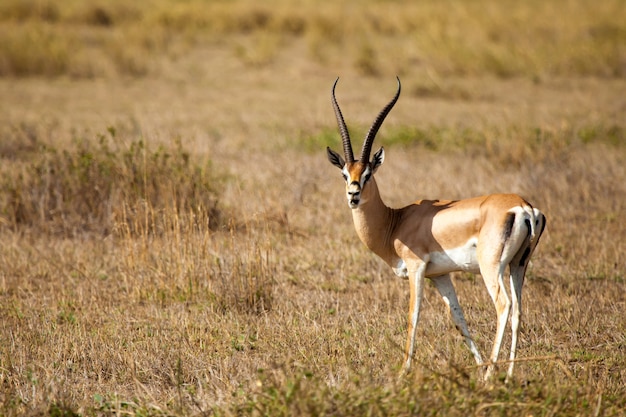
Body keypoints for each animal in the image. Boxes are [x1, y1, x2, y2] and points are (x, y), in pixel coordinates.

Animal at [324, 77, 544, 380]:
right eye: (345, 174)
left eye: (368, 174)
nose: (353, 194)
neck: (396, 222)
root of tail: (523, 207)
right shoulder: (440, 276)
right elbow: (459, 319)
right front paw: (477, 367)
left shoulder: (416, 268)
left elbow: (413, 315)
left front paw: (404, 371)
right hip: (519, 265)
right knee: (519, 311)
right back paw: (508, 374)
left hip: (491, 267)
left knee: (504, 305)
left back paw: (492, 376)